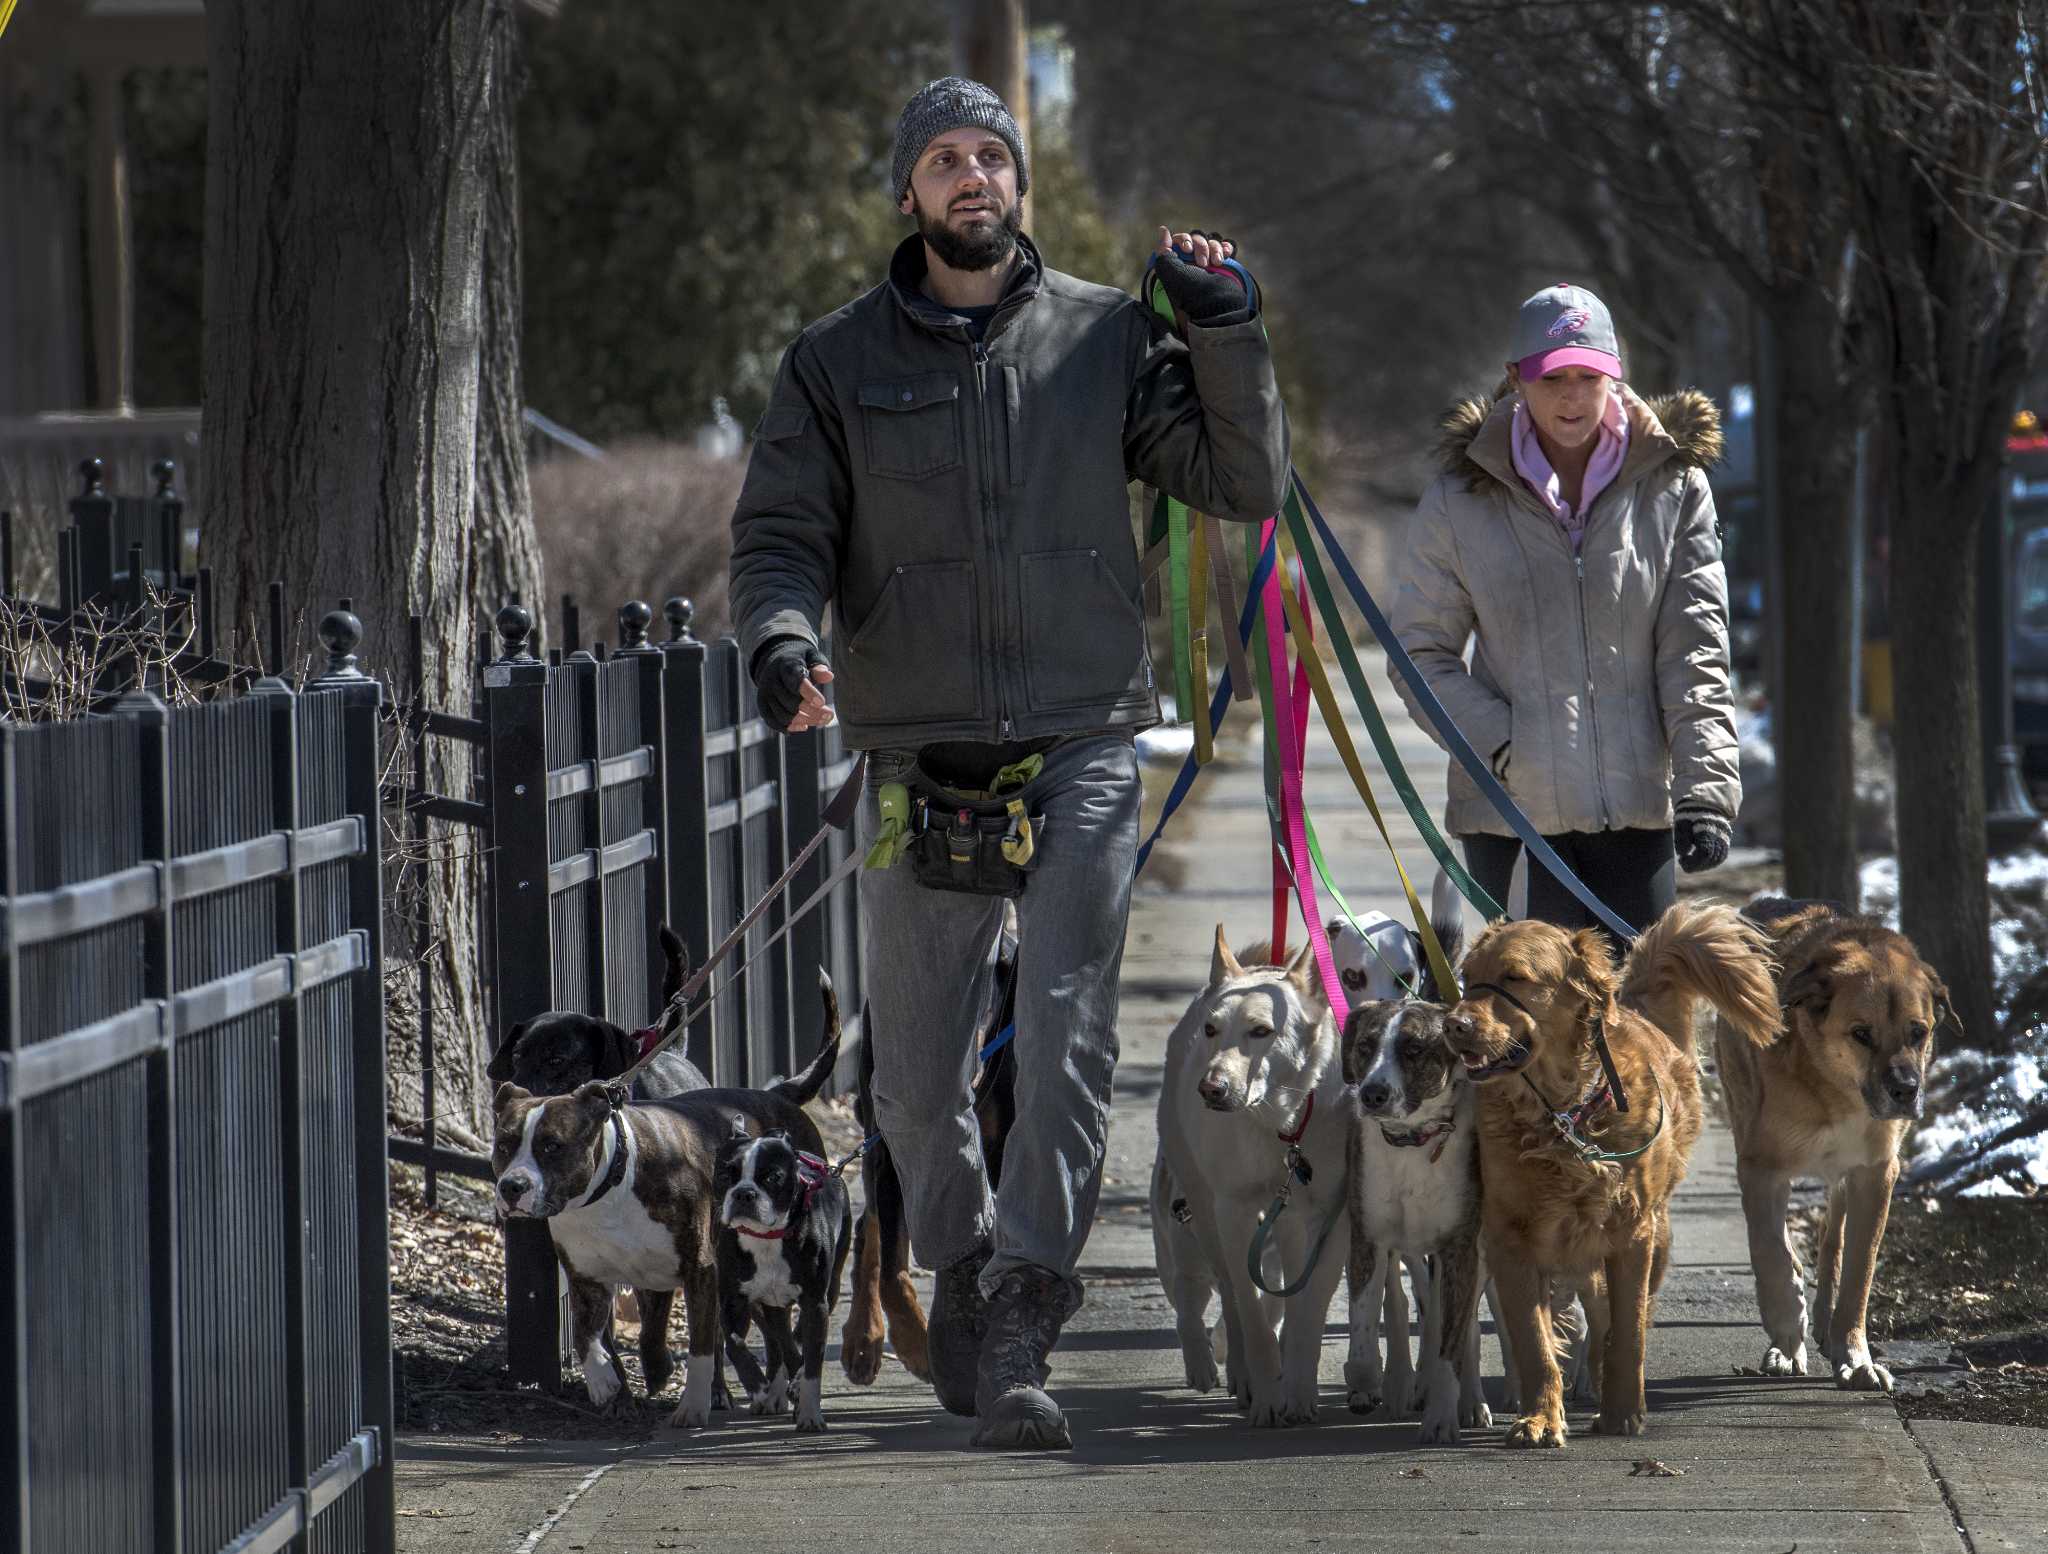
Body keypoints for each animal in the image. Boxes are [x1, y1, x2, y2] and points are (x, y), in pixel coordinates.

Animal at [716, 1121, 851, 1433]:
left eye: (772, 1177)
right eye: (725, 1174)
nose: (744, 1193)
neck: (766, 1237)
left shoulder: (815, 1303)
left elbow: (813, 1362)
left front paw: (810, 1413)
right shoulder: (732, 1300)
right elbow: (735, 1344)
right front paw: (757, 1386)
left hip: (830, 1289)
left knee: (790, 1342)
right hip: (769, 1302)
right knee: (779, 1341)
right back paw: (775, 1392)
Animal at [1441, 900, 1777, 1449]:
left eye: (1515, 976)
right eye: (1469, 978)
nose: (1452, 1025)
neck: (1562, 1113)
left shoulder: (1632, 1232)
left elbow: (1629, 1329)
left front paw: (1622, 1412)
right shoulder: (1511, 1238)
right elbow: (1534, 1343)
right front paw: (1540, 1417)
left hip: (1653, 1238)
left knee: (1607, 1316)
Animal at [1720, 900, 1941, 1400]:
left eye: (1918, 1032)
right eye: (1861, 1033)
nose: (1906, 1090)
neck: (1834, 1089)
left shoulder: (1875, 1173)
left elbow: (1859, 1271)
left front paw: (1855, 1357)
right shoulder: (1761, 1167)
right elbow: (1771, 1253)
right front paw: (1787, 1332)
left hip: (1845, 1177)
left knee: (1831, 1237)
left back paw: (1825, 1323)